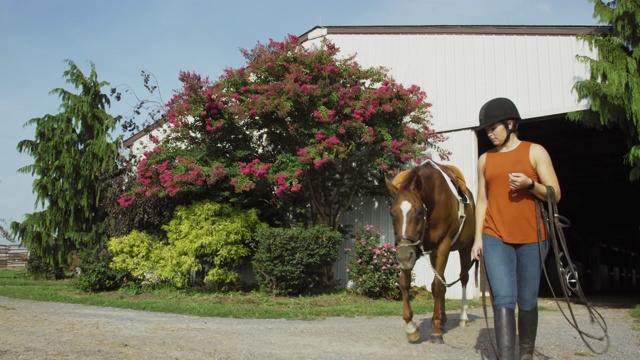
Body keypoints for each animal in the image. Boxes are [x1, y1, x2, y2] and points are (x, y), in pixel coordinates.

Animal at [384, 161, 476, 344]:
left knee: (463, 278)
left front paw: (434, 331)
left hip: (465, 248)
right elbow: (405, 283)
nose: (403, 257)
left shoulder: (443, 246)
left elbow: (437, 286)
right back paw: (443, 320)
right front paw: (411, 328)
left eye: (419, 212)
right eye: (392, 213)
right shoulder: (412, 250)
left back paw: (462, 317)